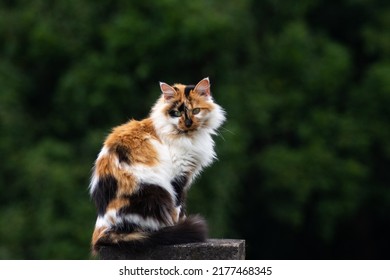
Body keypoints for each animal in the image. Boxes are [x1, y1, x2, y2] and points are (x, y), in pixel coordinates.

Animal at [88, 76, 225, 256]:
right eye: (176, 113)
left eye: (196, 111)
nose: (188, 123)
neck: (188, 138)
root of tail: (102, 230)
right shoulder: (178, 176)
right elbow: (177, 207)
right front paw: (176, 226)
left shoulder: (186, 176)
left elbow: (182, 206)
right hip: (153, 191)